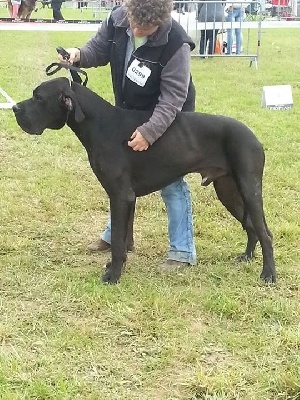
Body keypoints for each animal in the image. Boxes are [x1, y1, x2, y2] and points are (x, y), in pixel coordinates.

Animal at [12, 77, 276, 284]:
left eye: (38, 98)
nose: (14, 108)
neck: (99, 124)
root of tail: (254, 136)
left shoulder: (120, 195)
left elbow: (118, 240)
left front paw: (113, 276)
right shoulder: (126, 197)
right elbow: (123, 238)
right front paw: (116, 267)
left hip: (249, 187)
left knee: (265, 233)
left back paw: (268, 275)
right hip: (228, 190)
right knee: (251, 226)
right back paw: (247, 257)